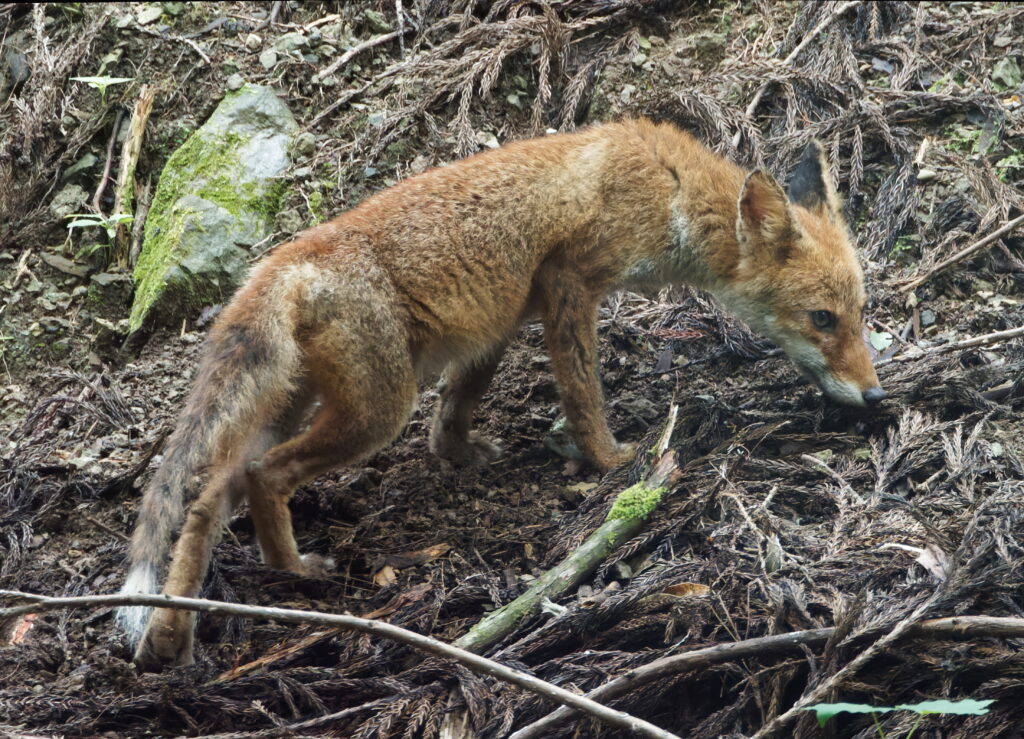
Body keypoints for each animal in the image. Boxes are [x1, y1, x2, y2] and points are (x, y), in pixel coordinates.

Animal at [116, 118, 884, 663]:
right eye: (822, 319)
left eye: (861, 312)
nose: (875, 397)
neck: (667, 191)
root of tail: (289, 257)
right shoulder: (571, 281)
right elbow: (583, 391)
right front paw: (612, 461)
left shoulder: (503, 318)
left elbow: (458, 402)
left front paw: (457, 454)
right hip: (373, 412)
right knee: (262, 477)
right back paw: (295, 573)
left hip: (292, 403)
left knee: (207, 497)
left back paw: (173, 638)